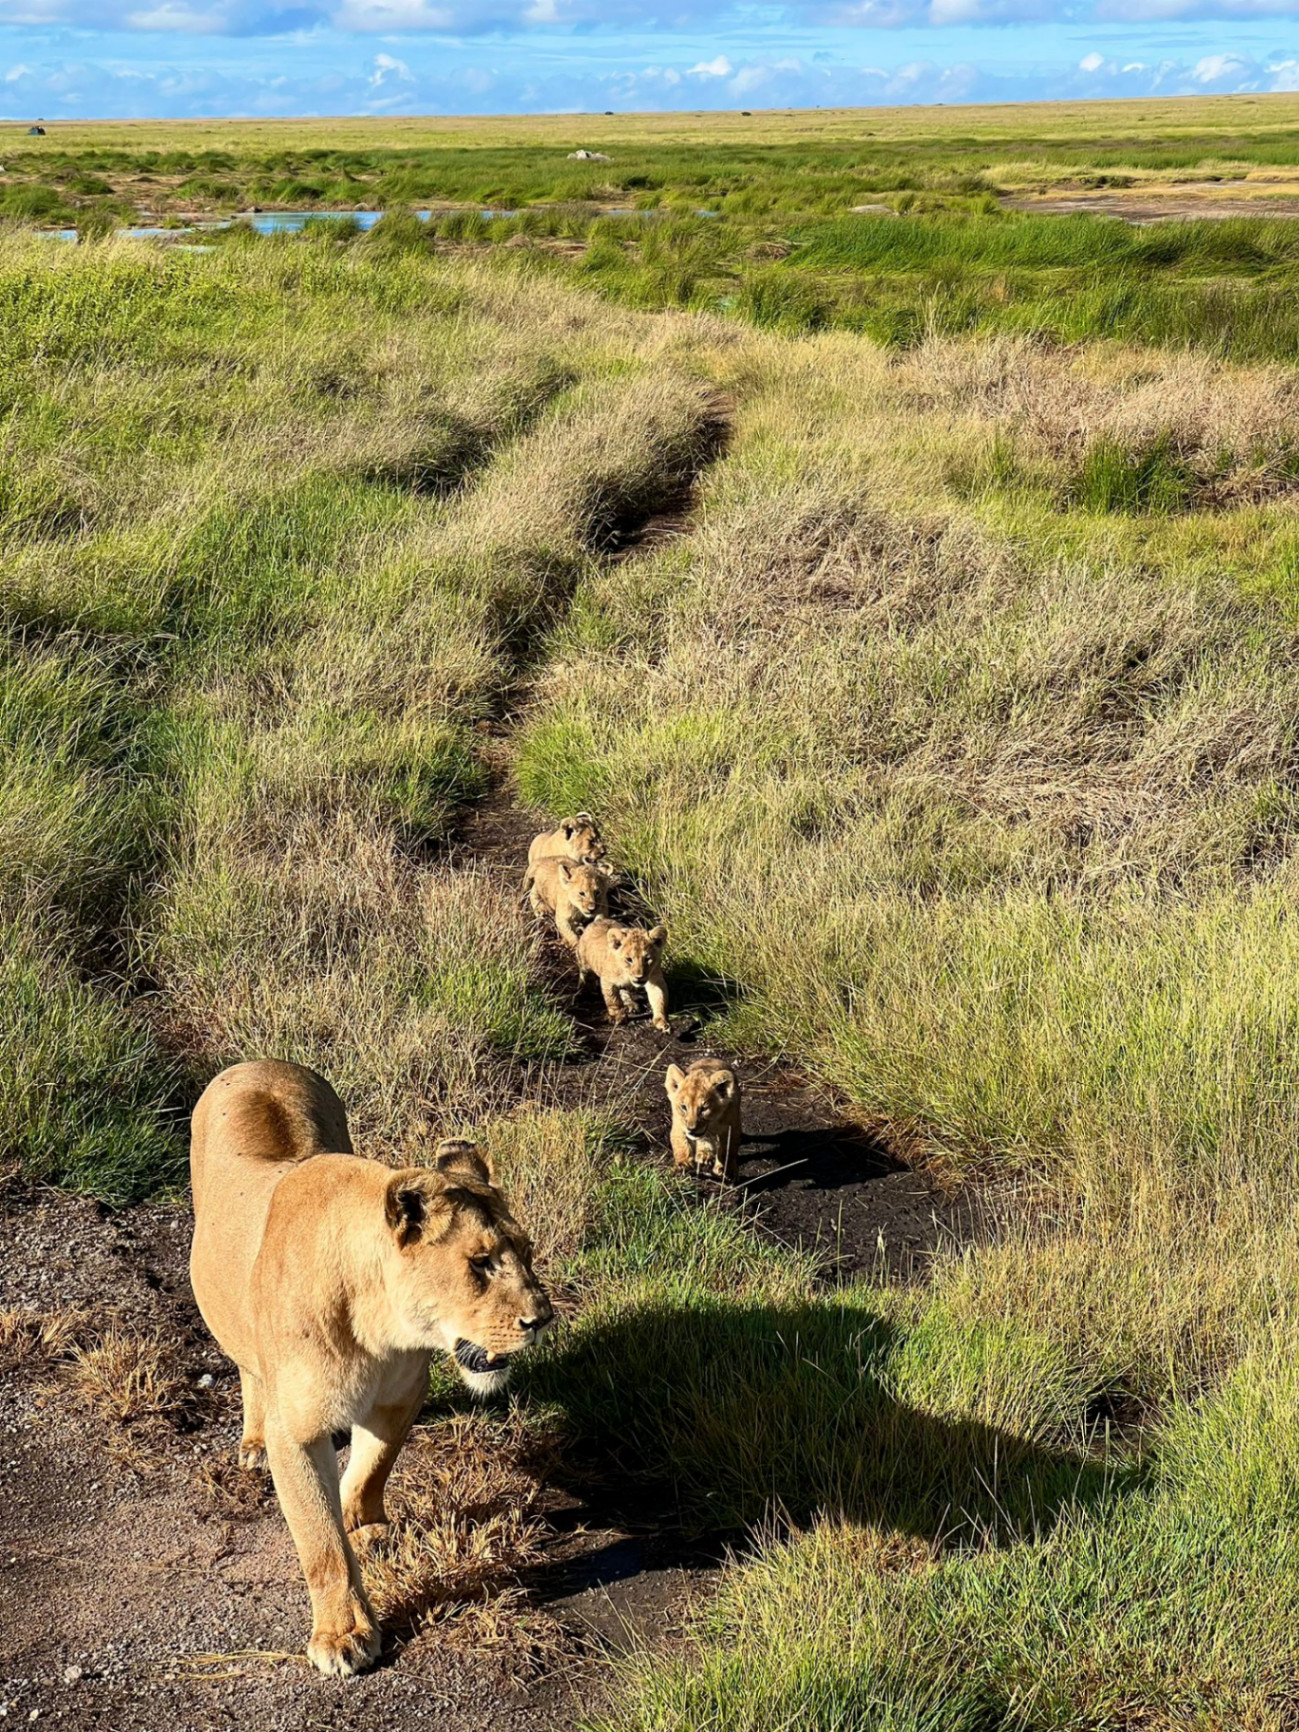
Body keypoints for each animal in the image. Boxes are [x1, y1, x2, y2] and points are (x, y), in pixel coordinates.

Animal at [189, 1060, 552, 1678]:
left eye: (525, 1253)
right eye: (480, 1263)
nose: (543, 1319)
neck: (379, 1328)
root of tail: (260, 1063)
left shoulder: (399, 1395)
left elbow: (372, 1469)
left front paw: (365, 1527)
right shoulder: (297, 1432)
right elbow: (320, 1542)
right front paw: (343, 1634)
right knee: (249, 1367)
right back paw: (252, 1442)